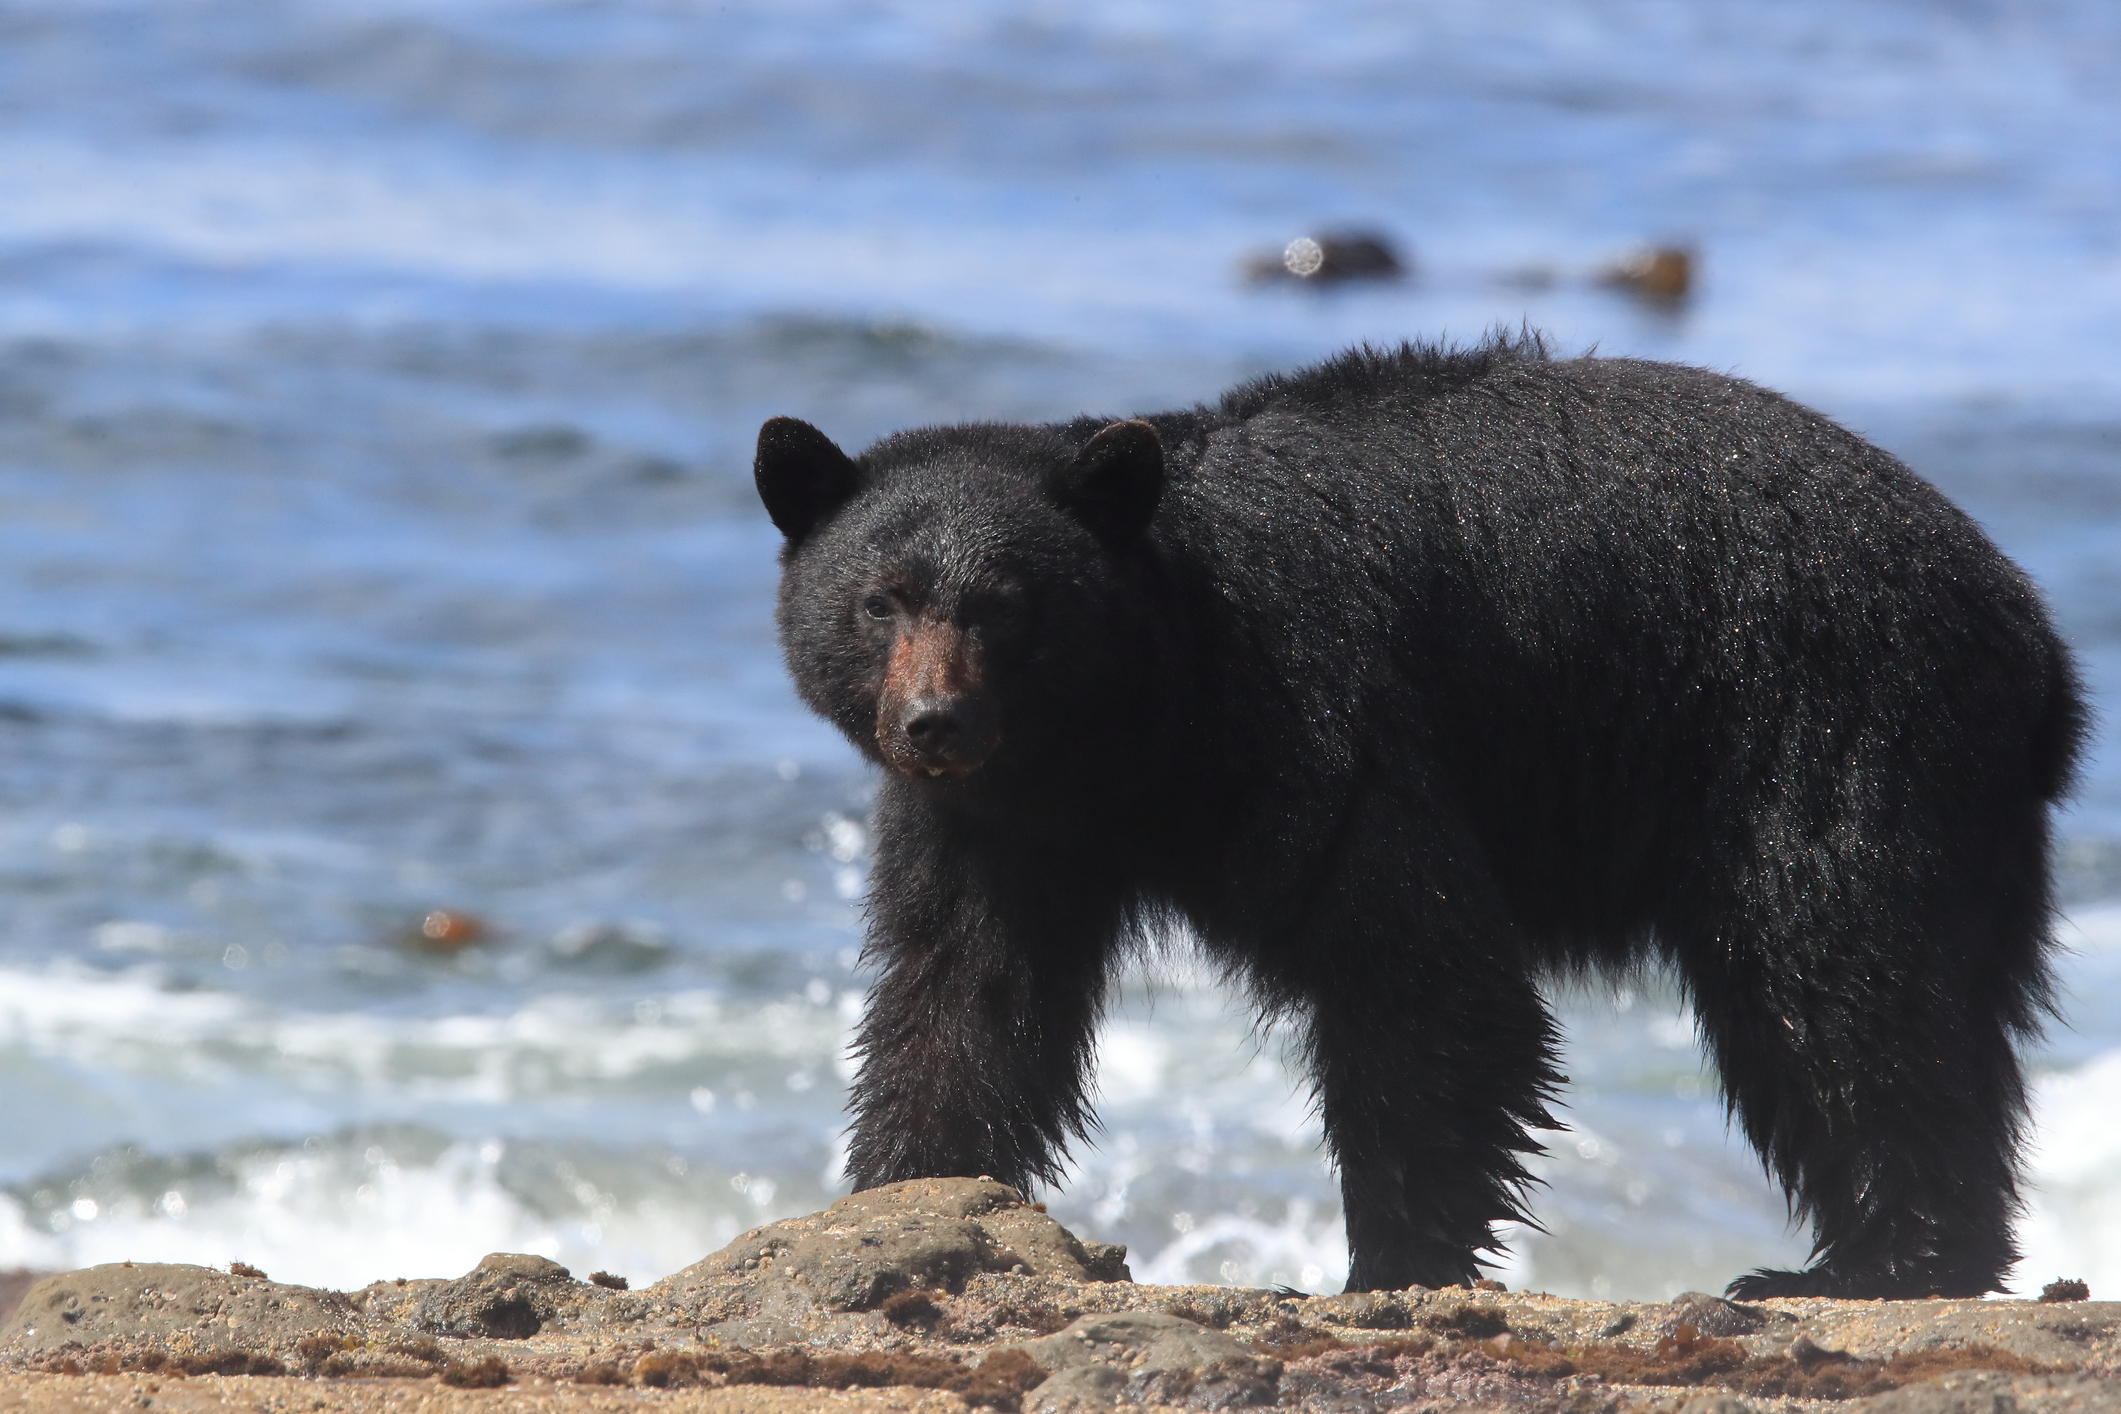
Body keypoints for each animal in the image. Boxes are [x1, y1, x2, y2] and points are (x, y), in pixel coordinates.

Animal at [754, 333, 2086, 1300]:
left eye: (1006, 603)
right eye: (881, 600)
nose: (935, 721)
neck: (1137, 722)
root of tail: (2032, 632)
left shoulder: (1320, 720)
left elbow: (1421, 976)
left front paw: (1389, 1266)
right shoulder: (998, 829)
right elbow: (964, 996)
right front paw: (893, 1198)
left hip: (1831, 722)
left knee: (1842, 982)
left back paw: (1873, 1264)